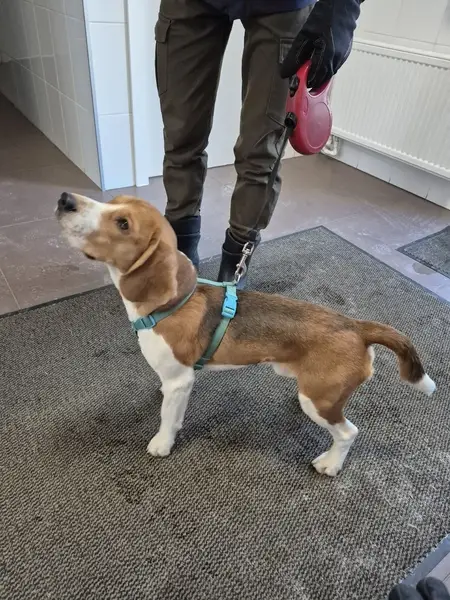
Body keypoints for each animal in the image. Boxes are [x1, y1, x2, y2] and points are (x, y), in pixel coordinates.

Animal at [56, 192, 436, 476]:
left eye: (123, 224)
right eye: (113, 201)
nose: (65, 199)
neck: (170, 304)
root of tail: (356, 326)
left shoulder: (181, 382)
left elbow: (168, 419)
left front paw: (162, 444)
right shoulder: (175, 381)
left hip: (321, 402)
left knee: (348, 432)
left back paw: (330, 464)